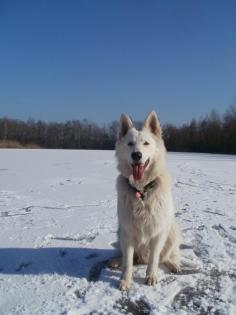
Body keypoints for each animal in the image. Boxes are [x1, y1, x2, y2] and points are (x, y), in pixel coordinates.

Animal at [115, 111, 182, 292]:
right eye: (130, 144)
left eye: (146, 143)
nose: (136, 155)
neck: (142, 191)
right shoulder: (127, 232)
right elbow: (128, 262)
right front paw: (126, 280)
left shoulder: (158, 232)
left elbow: (154, 259)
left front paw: (151, 276)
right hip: (120, 233)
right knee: (125, 257)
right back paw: (116, 262)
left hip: (172, 231)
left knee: (165, 256)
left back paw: (173, 264)